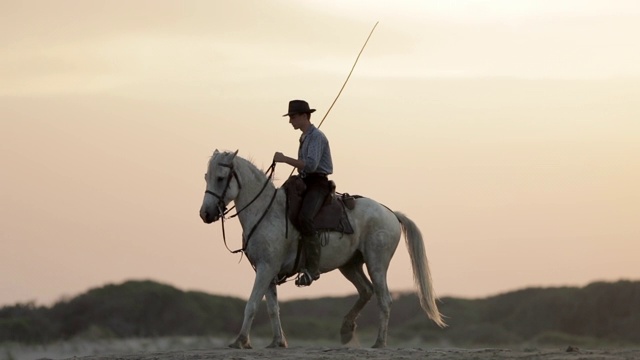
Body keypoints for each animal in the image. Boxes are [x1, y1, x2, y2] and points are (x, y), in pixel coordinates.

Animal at [200, 150, 444, 348]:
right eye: (206, 177)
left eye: (220, 178)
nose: (205, 213)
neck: (266, 212)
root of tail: (391, 213)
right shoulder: (267, 271)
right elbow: (272, 308)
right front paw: (277, 342)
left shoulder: (265, 268)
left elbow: (251, 304)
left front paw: (240, 341)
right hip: (350, 265)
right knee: (366, 290)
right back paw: (346, 330)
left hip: (377, 263)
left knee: (384, 299)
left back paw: (379, 343)